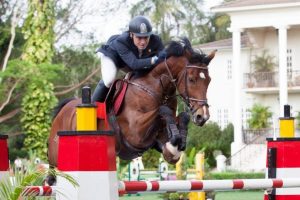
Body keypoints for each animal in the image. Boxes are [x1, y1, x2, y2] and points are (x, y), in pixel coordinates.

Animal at [47, 37, 216, 167]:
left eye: (209, 80)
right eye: (191, 79)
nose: (203, 116)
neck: (156, 89)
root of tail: (64, 109)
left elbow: (180, 121)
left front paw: (177, 143)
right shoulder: (135, 132)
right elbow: (162, 110)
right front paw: (175, 138)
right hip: (56, 158)